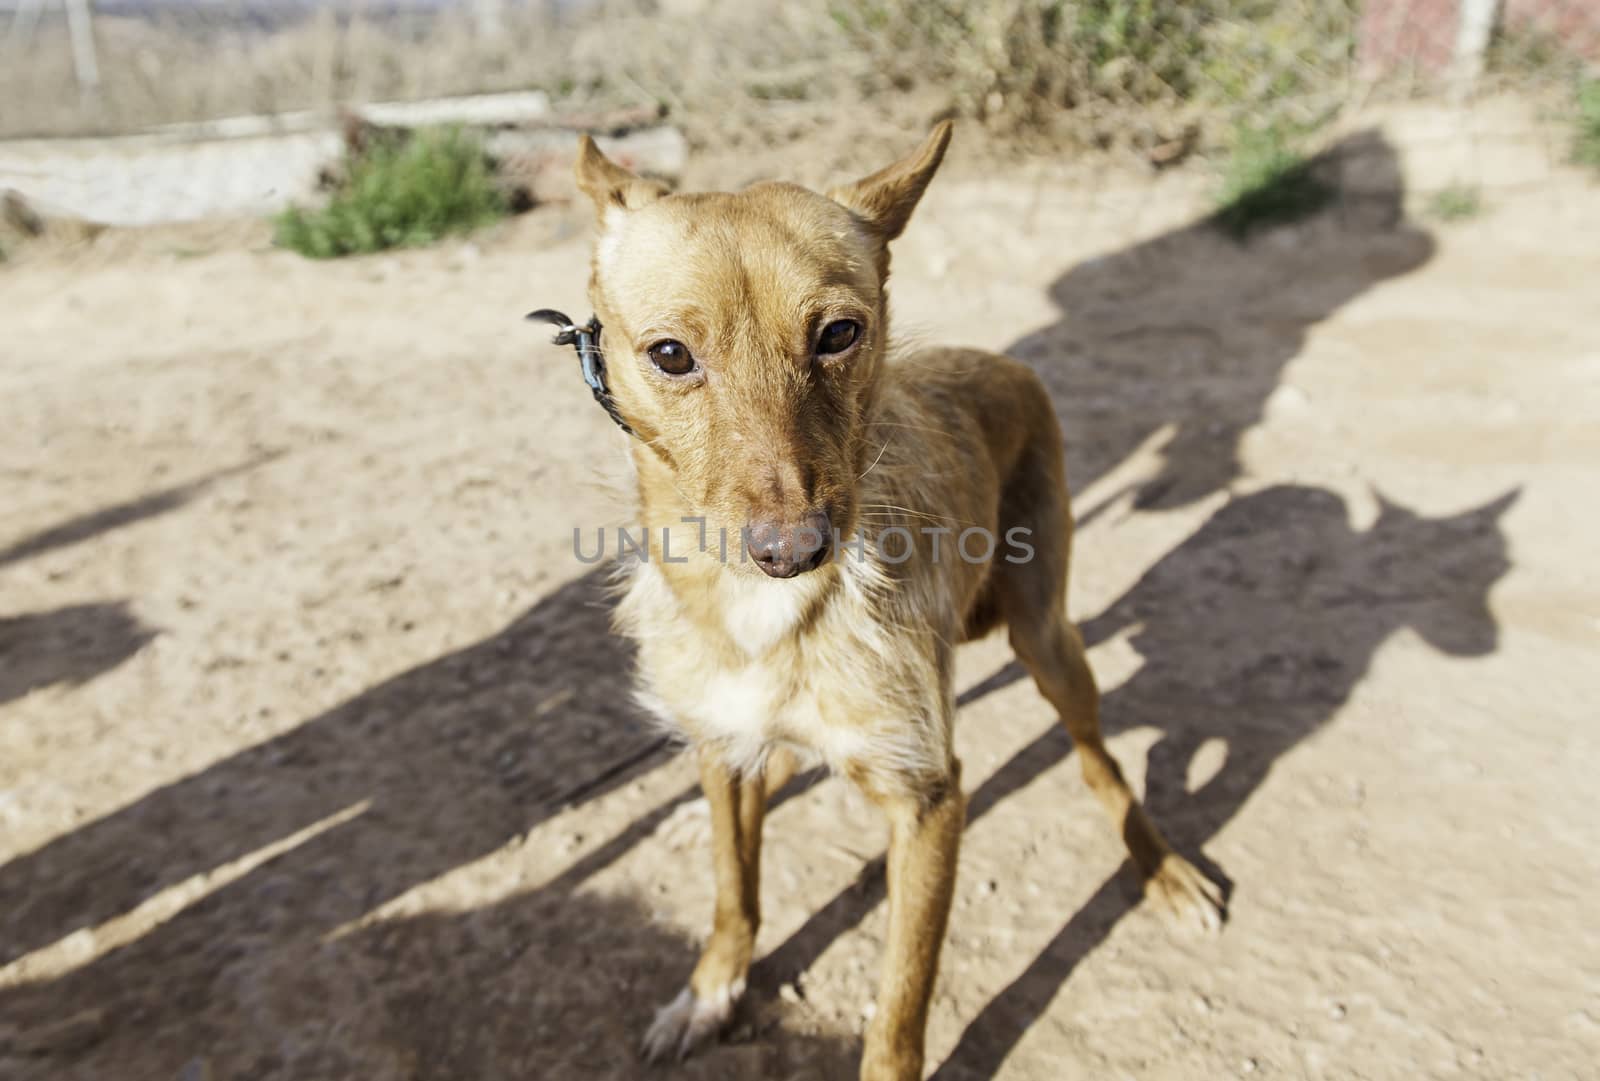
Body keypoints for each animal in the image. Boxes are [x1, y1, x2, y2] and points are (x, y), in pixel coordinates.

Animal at [566, 122, 1222, 1074]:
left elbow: (901, 1004)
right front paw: (711, 988)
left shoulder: (930, 800)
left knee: (1102, 764)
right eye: (670, 355)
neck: (768, 621)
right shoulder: (724, 747)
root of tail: (999, 358)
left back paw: (1162, 866)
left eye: (840, 332)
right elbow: (734, 887)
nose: (793, 550)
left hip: (1048, 640)